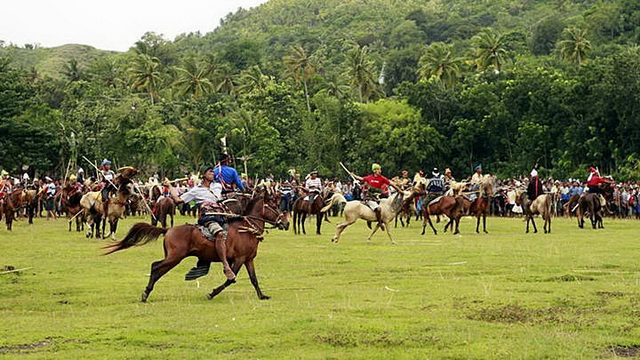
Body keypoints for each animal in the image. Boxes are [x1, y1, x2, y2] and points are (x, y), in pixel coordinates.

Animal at [105, 195, 290, 302]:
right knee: (155, 266)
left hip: (173, 257)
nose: (286, 223)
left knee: (157, 269)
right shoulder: (238, 260)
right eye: (275, 206)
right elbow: (231, 279)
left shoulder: (248, 259)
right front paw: (212, 293)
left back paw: (146, 293)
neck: (246, 229)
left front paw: (262, 296)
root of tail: (168, 230)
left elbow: (254, 279)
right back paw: (145, 294)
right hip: (175, 257)